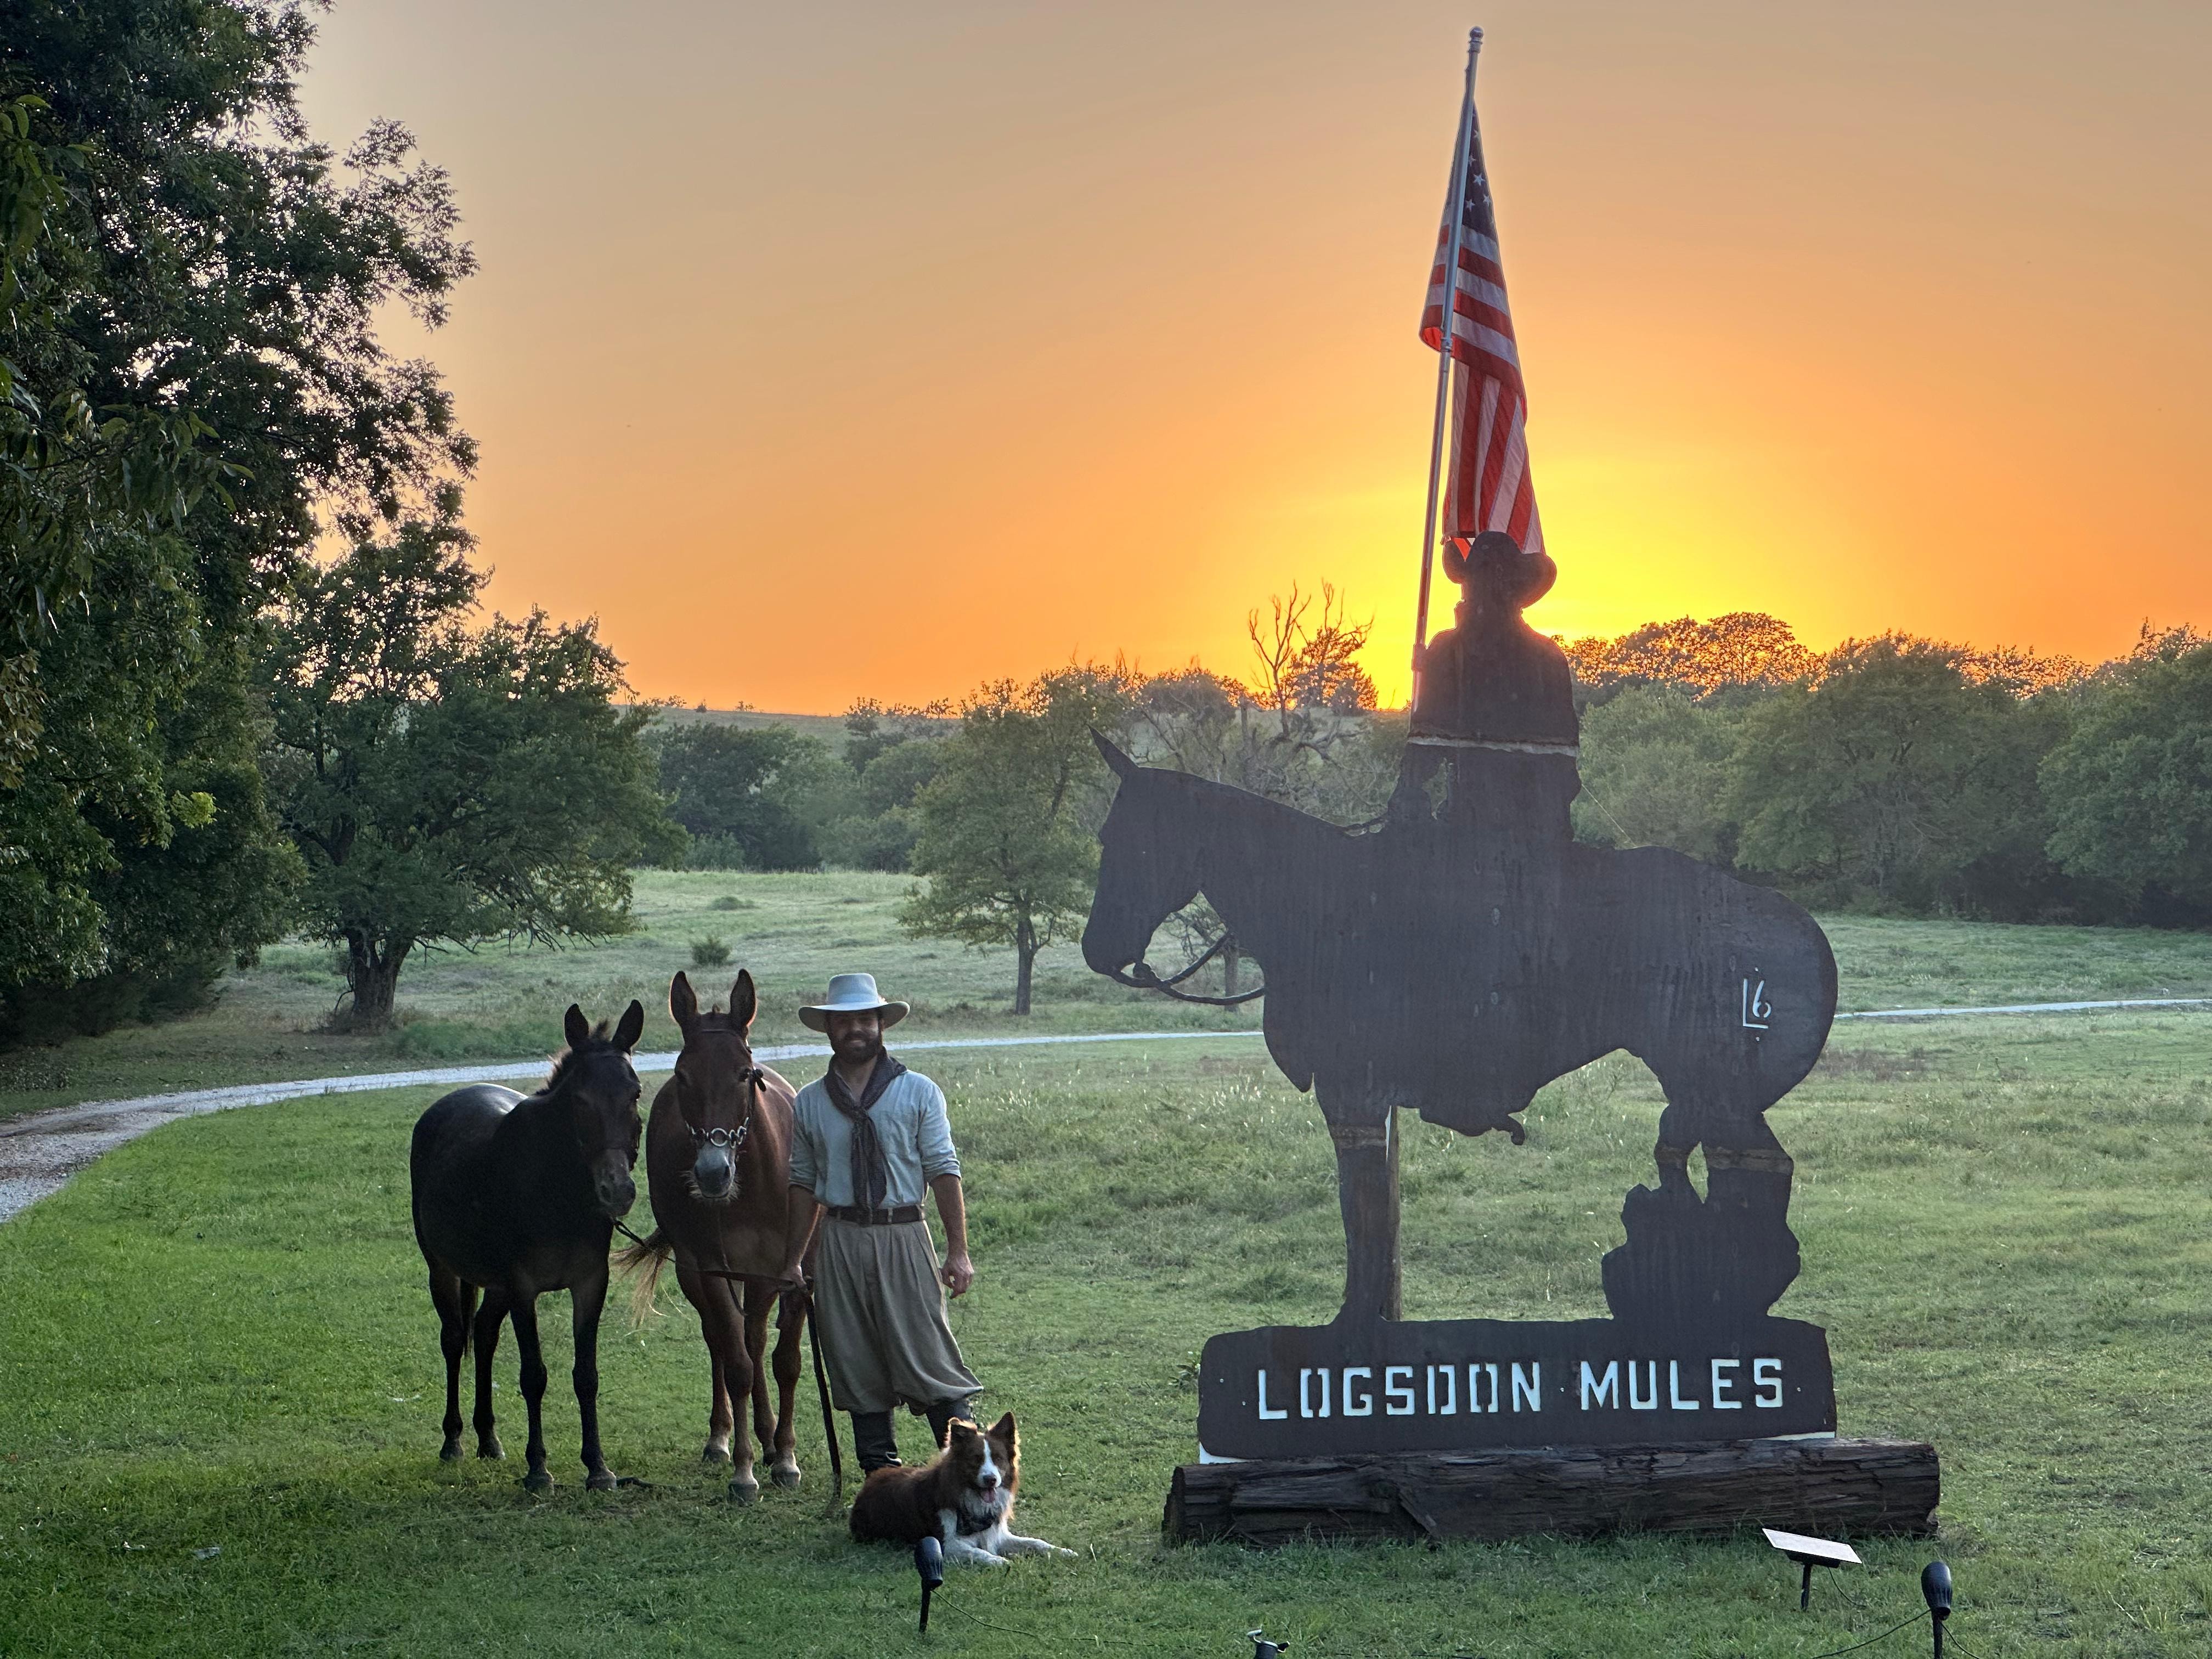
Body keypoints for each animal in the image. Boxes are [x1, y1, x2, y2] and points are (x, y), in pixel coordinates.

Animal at [845, 1415, 1079, 1575]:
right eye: (976, 1459)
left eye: (998, 1458)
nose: (991, 1480)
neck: (972, 1503)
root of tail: (869, 1484)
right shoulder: (945, 1544)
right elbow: (978, 1552)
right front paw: (998, 1561)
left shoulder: (998, 1535)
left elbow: (1036, 1542)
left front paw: (1062, 1551)